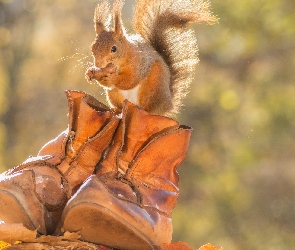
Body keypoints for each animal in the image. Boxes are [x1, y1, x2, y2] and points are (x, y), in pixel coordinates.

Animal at [85, 0, 217, 116]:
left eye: (114, 49)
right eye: (92, 47)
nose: (98, 64)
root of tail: (168, 103)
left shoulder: (140, 62)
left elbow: (131, 80)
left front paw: (113, 78)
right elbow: (107, 83)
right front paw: (90, 72)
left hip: (153, 88)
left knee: (150, 109)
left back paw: (145, 110)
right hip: (114, 95)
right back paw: (116, 109)